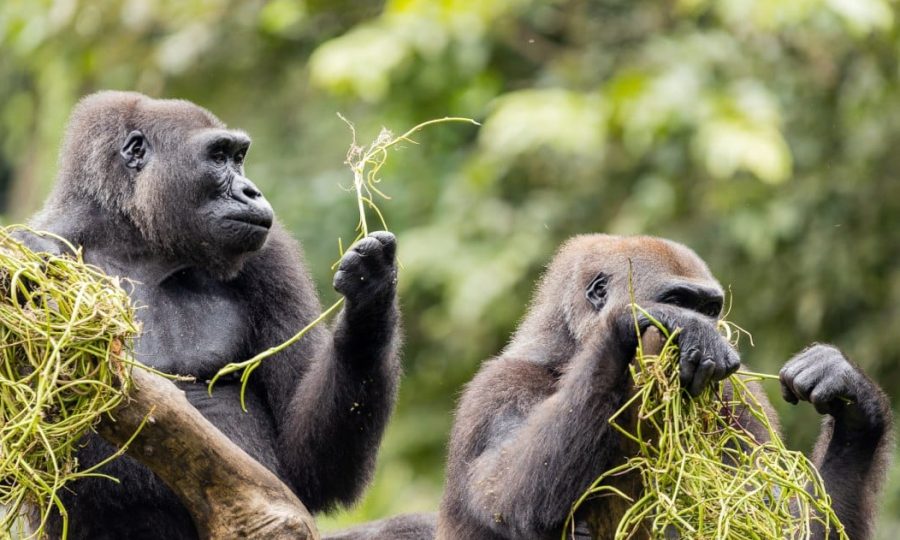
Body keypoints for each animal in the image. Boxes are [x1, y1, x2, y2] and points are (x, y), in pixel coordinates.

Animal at [20, 91, 402, 540]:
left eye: (239, 157)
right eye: (219, 156)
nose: (251, 191)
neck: (135, 240)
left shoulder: (272, 255)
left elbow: (310, 466)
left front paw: (370, 297)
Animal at [435, 234, 893, 540]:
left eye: (710, 308)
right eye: (677, 301)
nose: (709, 329)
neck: (565, 354)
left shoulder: (737, 397)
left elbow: (778, 524)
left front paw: (855, 409)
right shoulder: (495, 394)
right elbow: (508, 500)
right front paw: (635, 322)